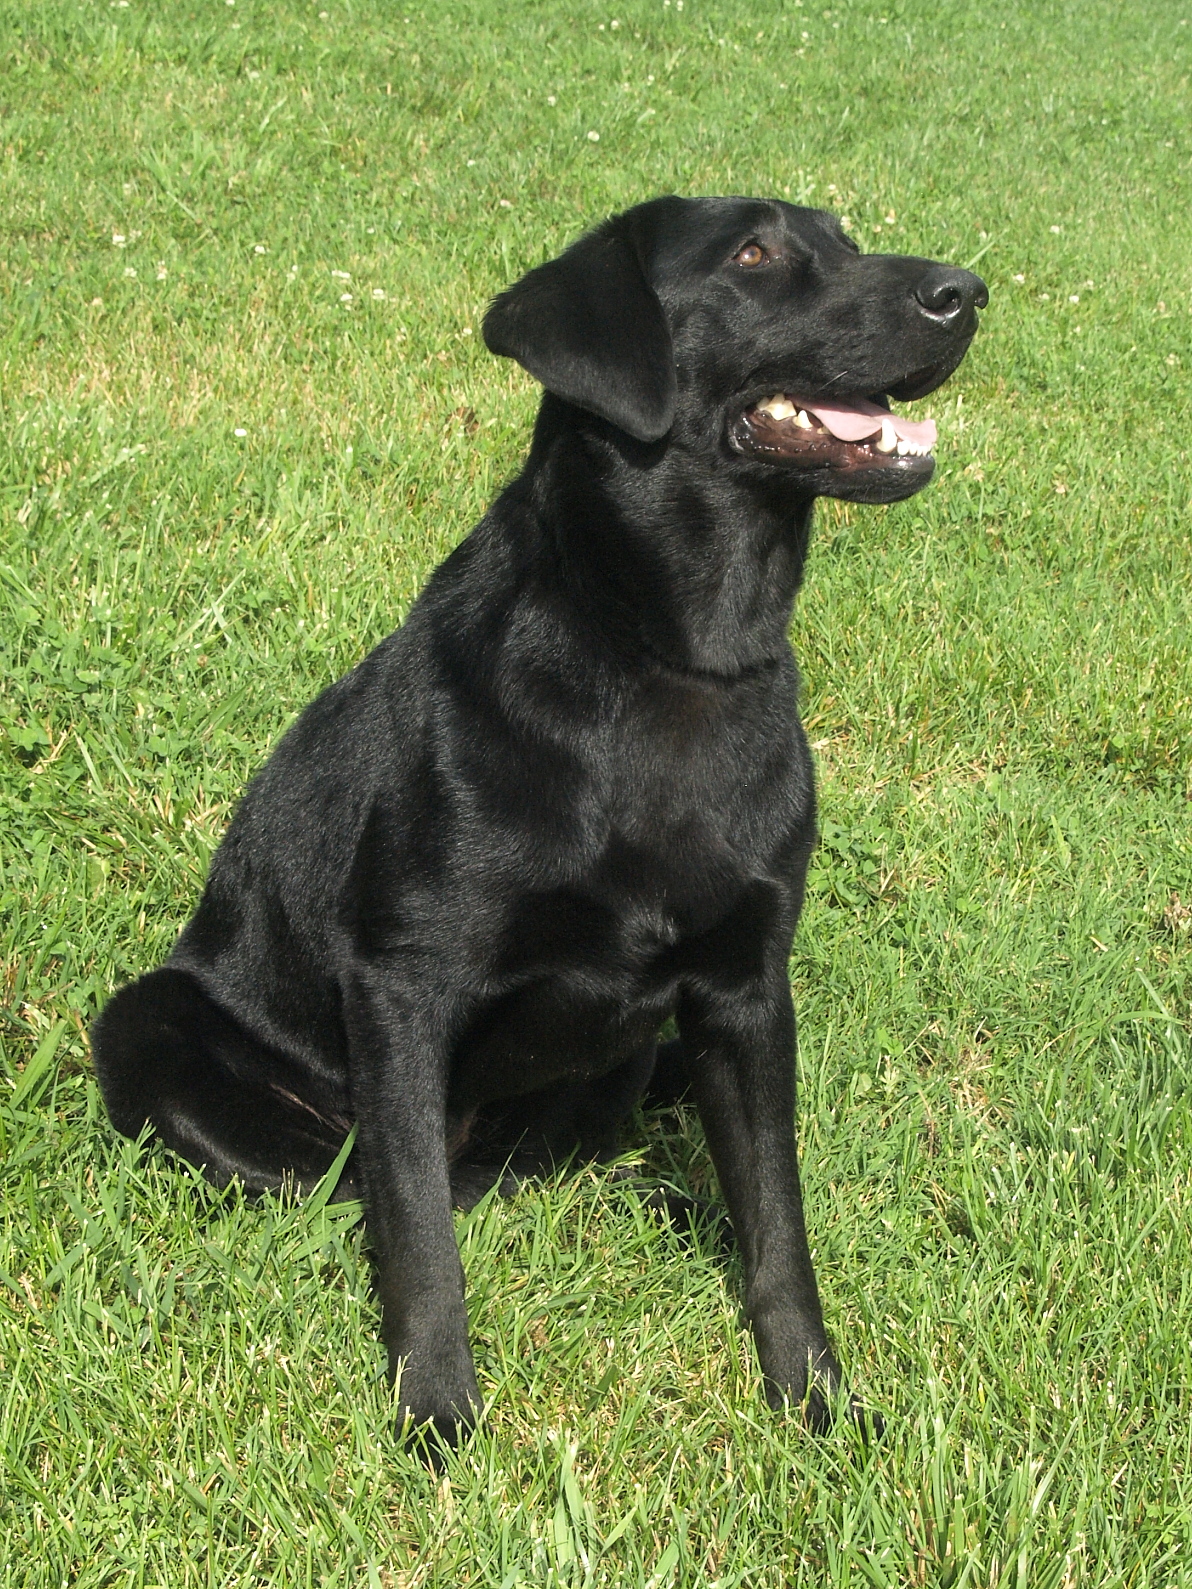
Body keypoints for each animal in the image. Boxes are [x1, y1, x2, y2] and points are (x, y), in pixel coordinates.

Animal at [90, 192, 991, 1449]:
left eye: (847, 239)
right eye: (755, 252)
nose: (967, 291)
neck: (673, 656)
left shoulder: (746, 987)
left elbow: (777, 1225)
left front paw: (813, 1399)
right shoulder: (403, 984)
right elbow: (419, 1233)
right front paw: (435, 1410)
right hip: (151, 1029)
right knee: (362, 1180)